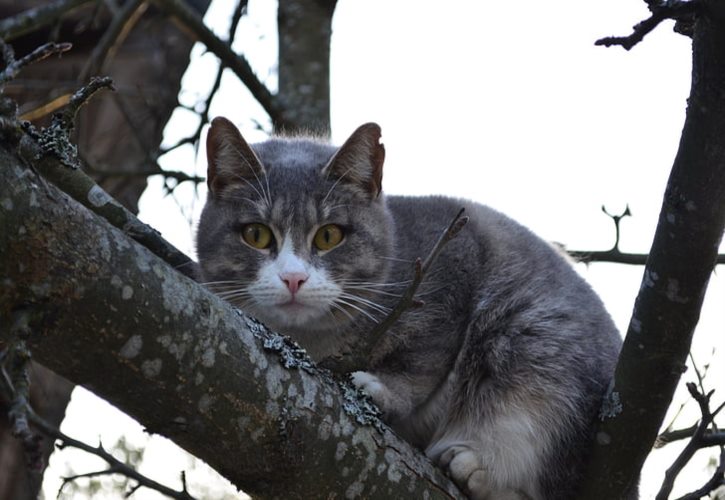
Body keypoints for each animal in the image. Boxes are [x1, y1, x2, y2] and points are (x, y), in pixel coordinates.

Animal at [195, 118, 624, 500]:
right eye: (256, 234)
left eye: (329, 235)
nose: (293, 278)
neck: (313, 340)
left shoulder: (453, 257)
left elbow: (423, 356)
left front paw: (382, 389)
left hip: (536, 352)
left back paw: (475, 470)